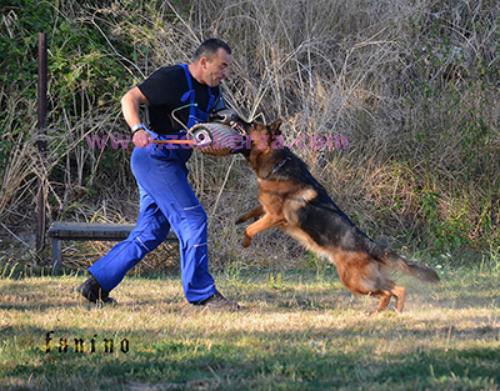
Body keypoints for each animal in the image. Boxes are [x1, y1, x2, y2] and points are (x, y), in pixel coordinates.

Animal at [237, 121, 438, 314]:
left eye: (253, 125)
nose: (235, 119)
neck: (278, 165)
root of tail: (370, 245)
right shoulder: (267, 210)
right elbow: (253, 213)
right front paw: (240, 219)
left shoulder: (275, 216)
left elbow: (251, 228)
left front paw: (245, 242)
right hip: (364, 280)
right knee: (395, 289)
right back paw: (384, 312)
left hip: (355, 281)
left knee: (393, 290)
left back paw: (390, 312)